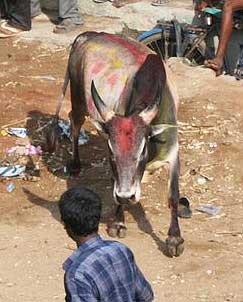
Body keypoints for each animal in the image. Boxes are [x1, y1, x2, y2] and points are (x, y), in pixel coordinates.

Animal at [49, 30, 189, 258]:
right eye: (113, 154)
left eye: (141, 152)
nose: (127, 195)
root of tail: (89, 35)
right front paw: (118, 223)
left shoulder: (173, 151)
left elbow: (173, 196)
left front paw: (174, 239)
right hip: (78, 98)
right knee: (74, 121)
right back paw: (75, 164)